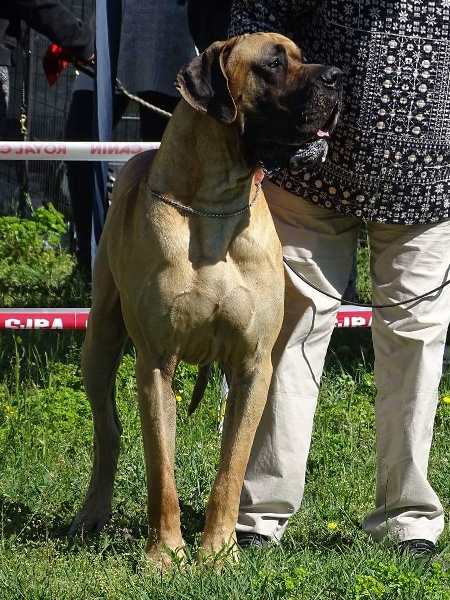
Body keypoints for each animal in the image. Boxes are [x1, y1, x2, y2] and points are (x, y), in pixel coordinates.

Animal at [70, 32, 342, 568]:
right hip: (99, 341)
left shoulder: (253, 364)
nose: (339, 78)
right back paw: (92, 512)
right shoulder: (155, 362)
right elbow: (160, 469)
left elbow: (232, 467)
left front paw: (218, 552)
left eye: (302, 57)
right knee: (108, 432)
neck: (215, 206)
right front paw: (165, 554)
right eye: (273, 64)